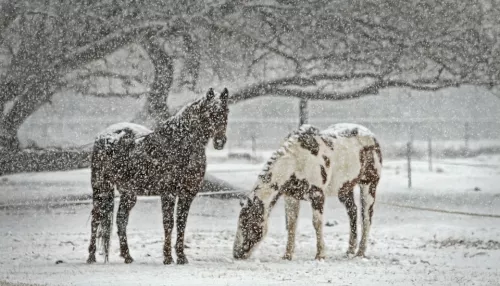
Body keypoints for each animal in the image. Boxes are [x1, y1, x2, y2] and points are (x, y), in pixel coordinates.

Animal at [87, 87, 229, 266]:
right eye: (210, 112)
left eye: (226, 111)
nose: (220, 142)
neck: (180, 145)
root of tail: (104, 136)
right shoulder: (168, 193)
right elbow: (169, 223)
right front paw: (168, 257)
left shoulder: (187, 194)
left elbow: (181, 223)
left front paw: (181, 257)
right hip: (101, 187)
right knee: (96, 218)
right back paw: (91, 256)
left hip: (128, 194)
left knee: (121, 220)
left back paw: (127, 256)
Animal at [232, 123, 380, 262]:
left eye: (248, 223)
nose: (236, 254)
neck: (296, 162)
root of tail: (371, 136)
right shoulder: (291, 197)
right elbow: (292, 224)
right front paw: (287, 255)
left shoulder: (317, 195)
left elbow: (317, 223)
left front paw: (320, 255)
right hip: (344, 189)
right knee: (352, 212)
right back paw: (350, 250)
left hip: (368, 185)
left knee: (366, 217)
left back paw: (360, 253)